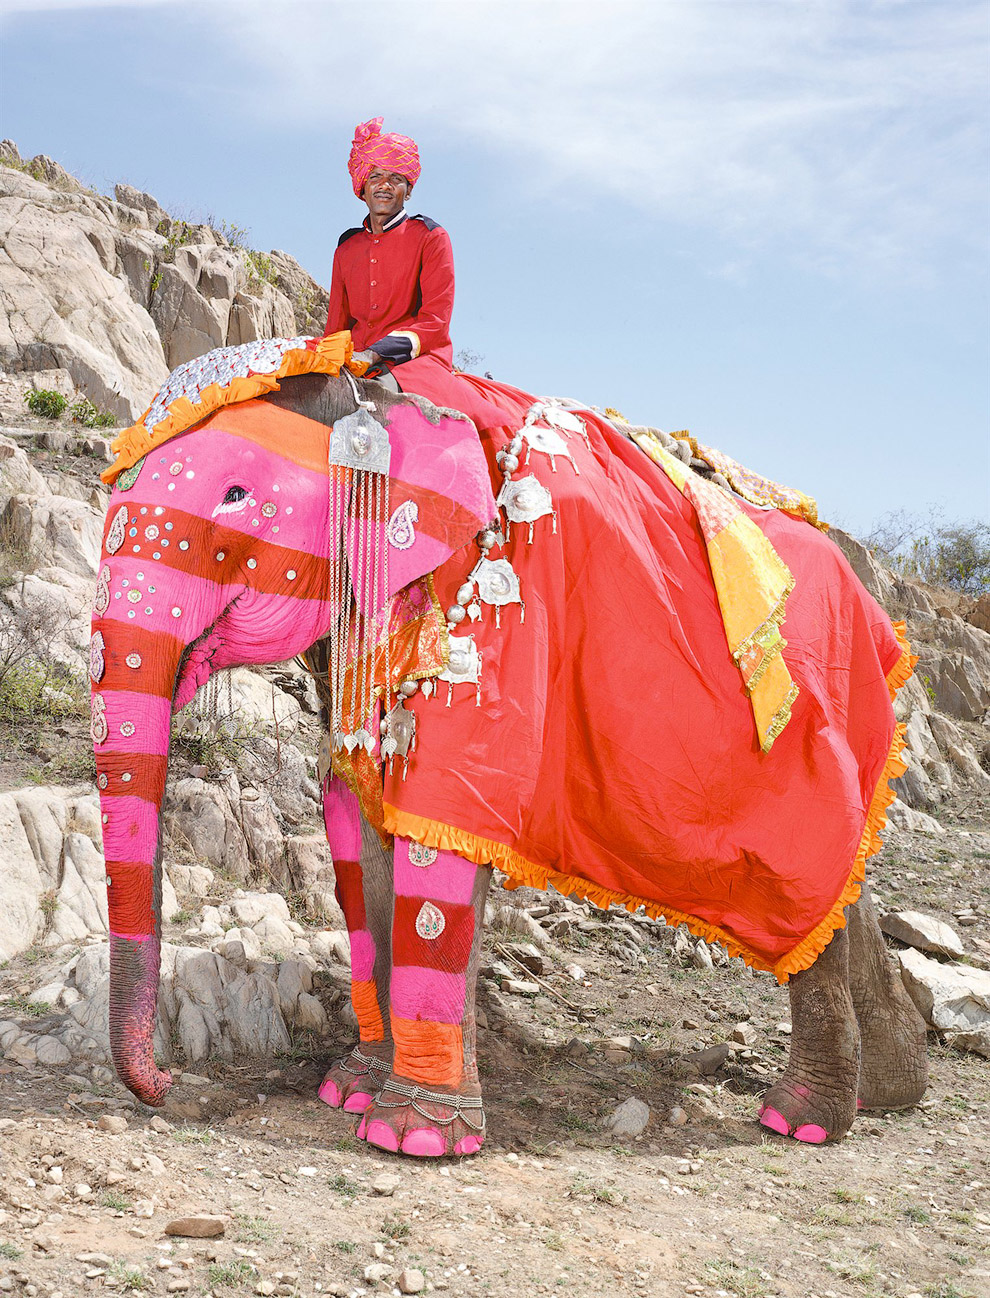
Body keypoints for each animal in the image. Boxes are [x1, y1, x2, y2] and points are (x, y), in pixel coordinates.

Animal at [90, 350, 929, 1163]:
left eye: (234, 496)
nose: (170, 1085)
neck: (374, 386)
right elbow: (357, 817)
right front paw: (348, 1092)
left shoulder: (508, 616)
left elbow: (444, 808)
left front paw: (412, 1138)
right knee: (839, 893)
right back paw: (890, 1093)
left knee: (807, 881)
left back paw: (803, 1121)